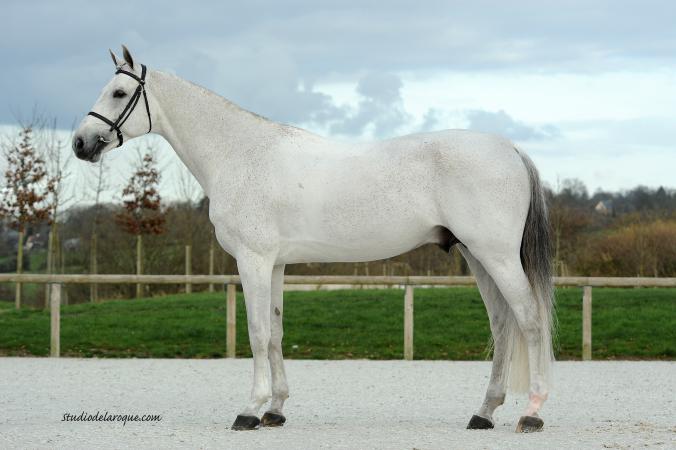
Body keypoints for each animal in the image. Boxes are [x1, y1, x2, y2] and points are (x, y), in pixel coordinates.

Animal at [73, 46, 555, 433]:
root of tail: (510, 148)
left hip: (496, 256)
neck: (241, 154)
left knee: (530, 320)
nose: (80, 143)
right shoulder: (276, 264)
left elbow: (256, 332)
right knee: (502, 324)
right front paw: (276, 410)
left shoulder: (252, 260)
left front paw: (249, 410)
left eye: (119, 93)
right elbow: (275, 333)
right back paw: (484, 413)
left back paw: (531, 414)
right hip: (477, 256)